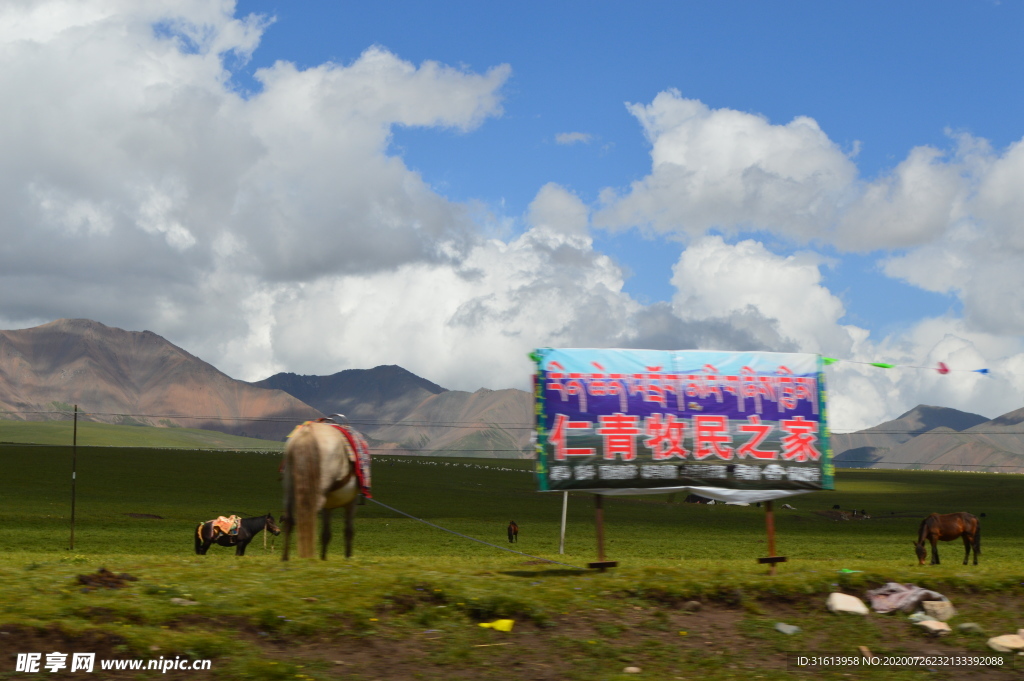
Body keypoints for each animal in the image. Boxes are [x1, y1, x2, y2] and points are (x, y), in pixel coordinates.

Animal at [280, 417, 372, 561]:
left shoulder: (327, 507)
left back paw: (285, 558)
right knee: (309, 517)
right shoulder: (351, 502)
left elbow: (326, 534)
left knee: (289, 519)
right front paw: (348, 557)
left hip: (289, 488)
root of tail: (307, 432)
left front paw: (323, 558)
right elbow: (348, 530)